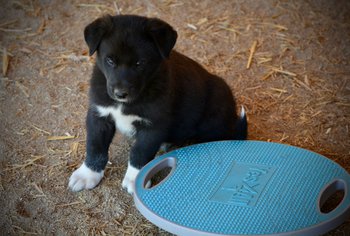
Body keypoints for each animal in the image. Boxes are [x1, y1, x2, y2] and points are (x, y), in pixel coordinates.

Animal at [68, 14, 247, 194]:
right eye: (110, 60)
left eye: (140, 63)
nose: (120, 94)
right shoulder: (99, 115)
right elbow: (95, 147)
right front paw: (88, 174)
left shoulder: (153, 126)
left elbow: (139, 152)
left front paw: (135, 180)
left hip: (215, 109)